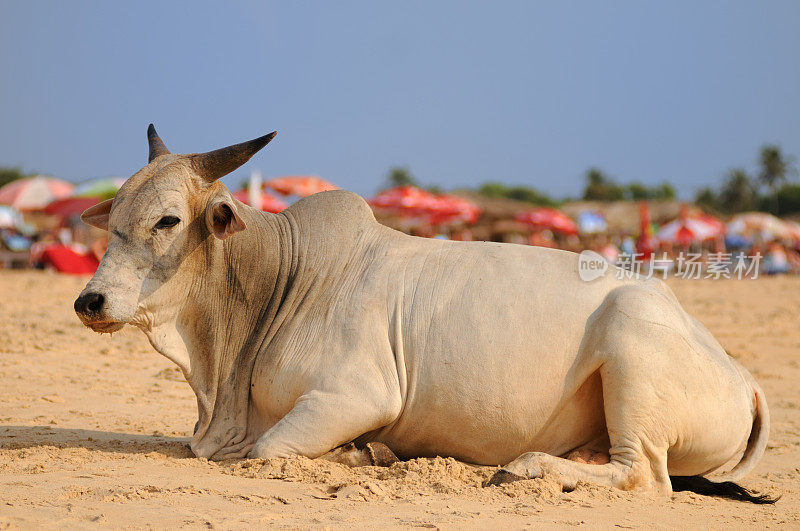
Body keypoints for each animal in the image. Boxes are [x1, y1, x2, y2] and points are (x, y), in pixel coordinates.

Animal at [78, 127, 772, 500]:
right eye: (114, 219)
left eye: (168, 220)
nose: (90, 301)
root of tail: (745, 379)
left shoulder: (356, 395)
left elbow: (268, 450)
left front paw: (364, 456)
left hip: (632, 338)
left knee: (643, 476)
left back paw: (530, 469)